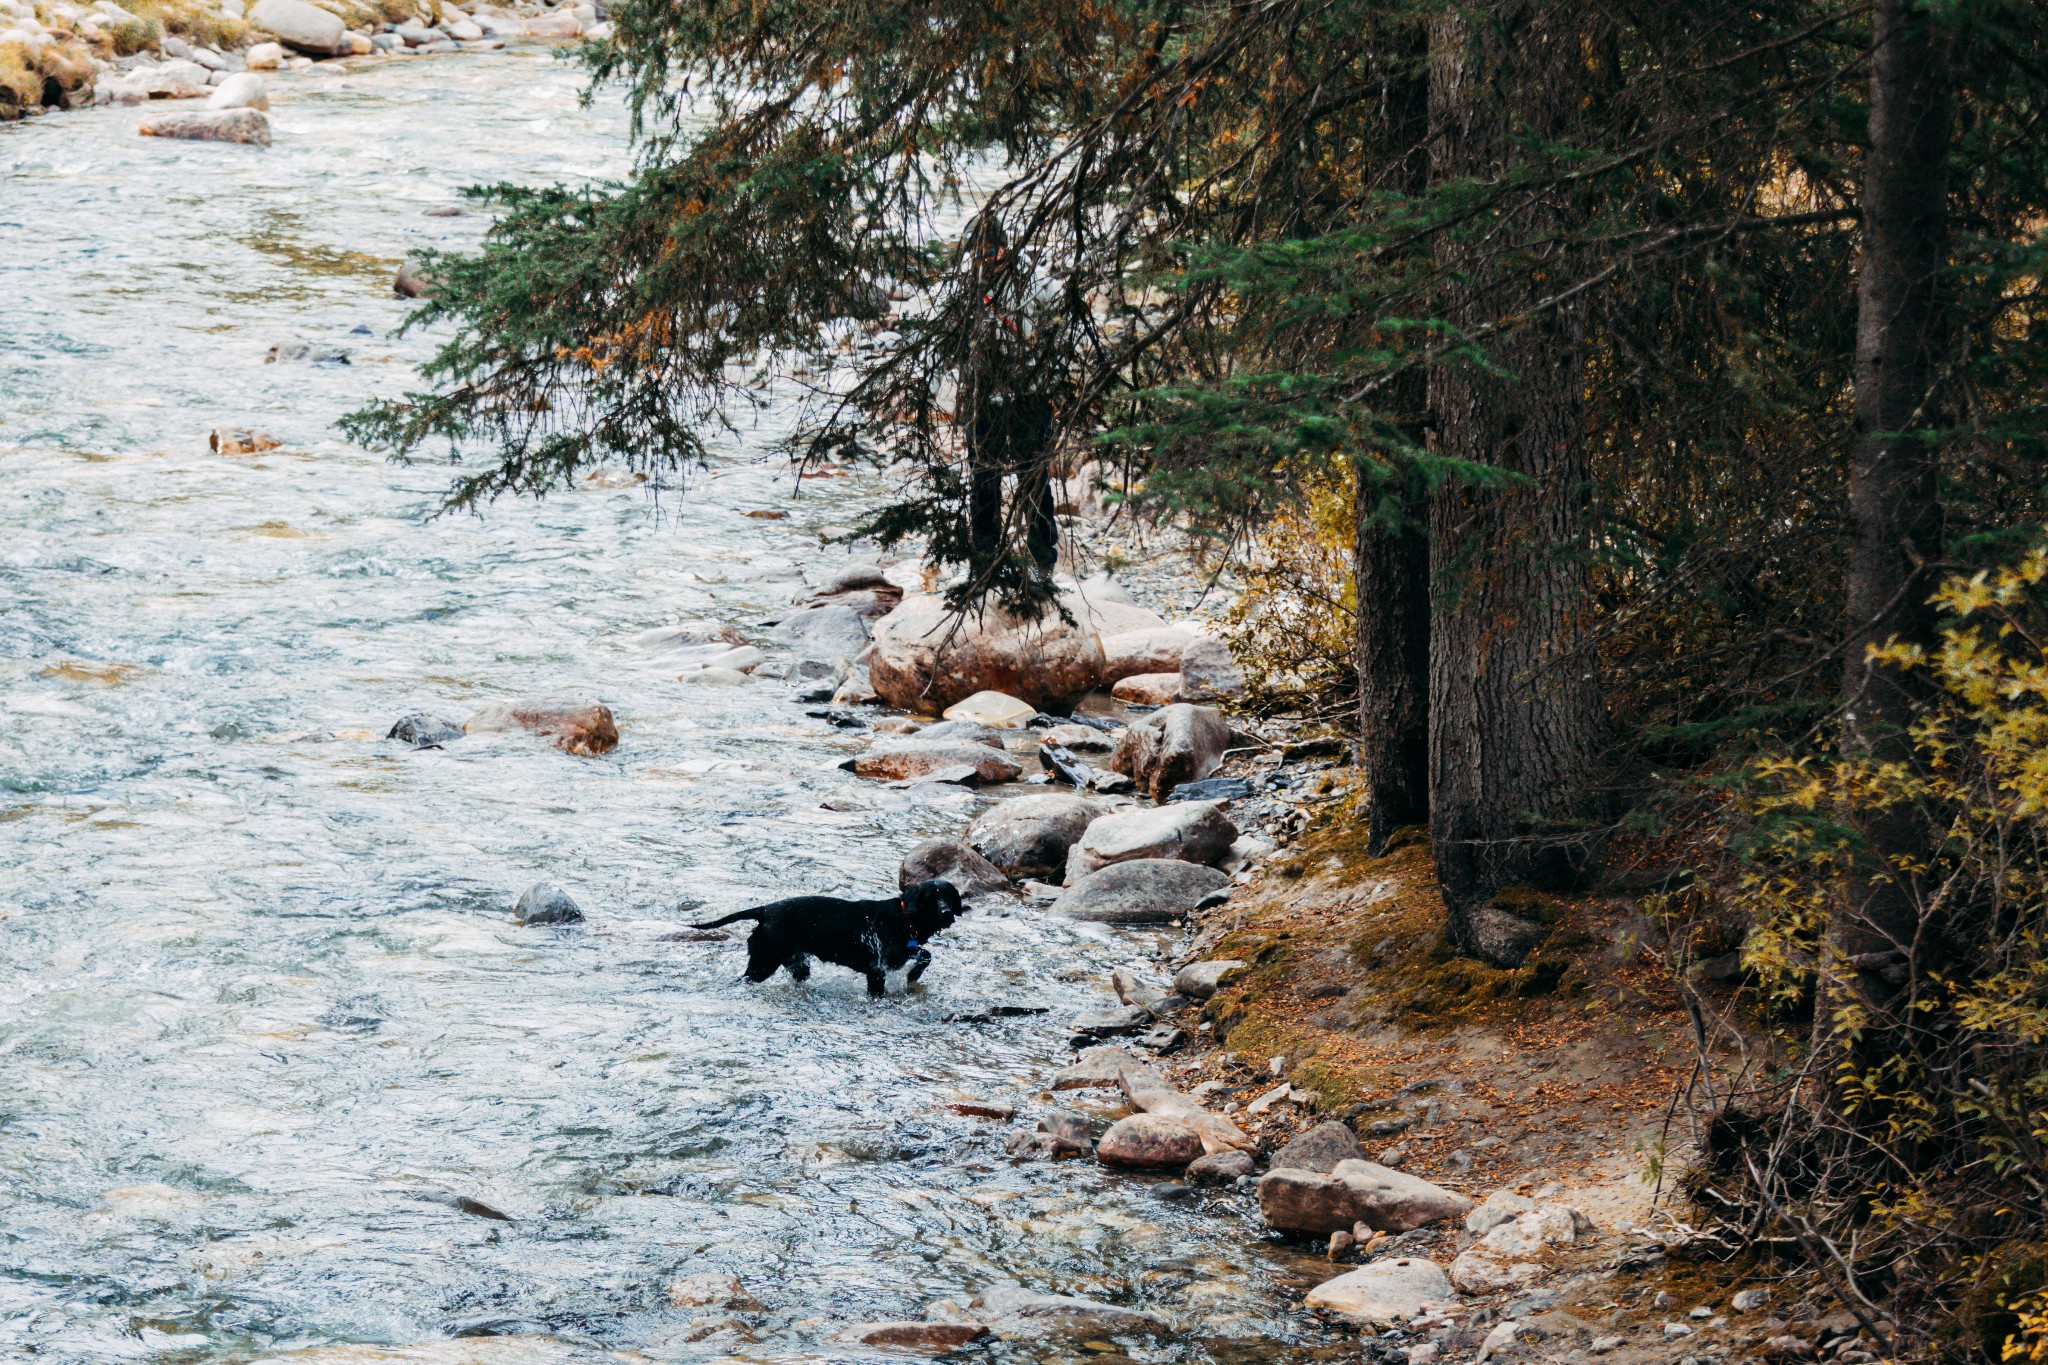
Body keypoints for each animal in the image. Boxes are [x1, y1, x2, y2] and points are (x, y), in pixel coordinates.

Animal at [692, 879, 962, 998]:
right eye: (931, 898)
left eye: (948, 896)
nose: (947, 913)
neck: (904, 921)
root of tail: (765, 910)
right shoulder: (876, 970)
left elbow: (925, 954)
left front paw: (914, 974)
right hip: (763, 963)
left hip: (797, 964)